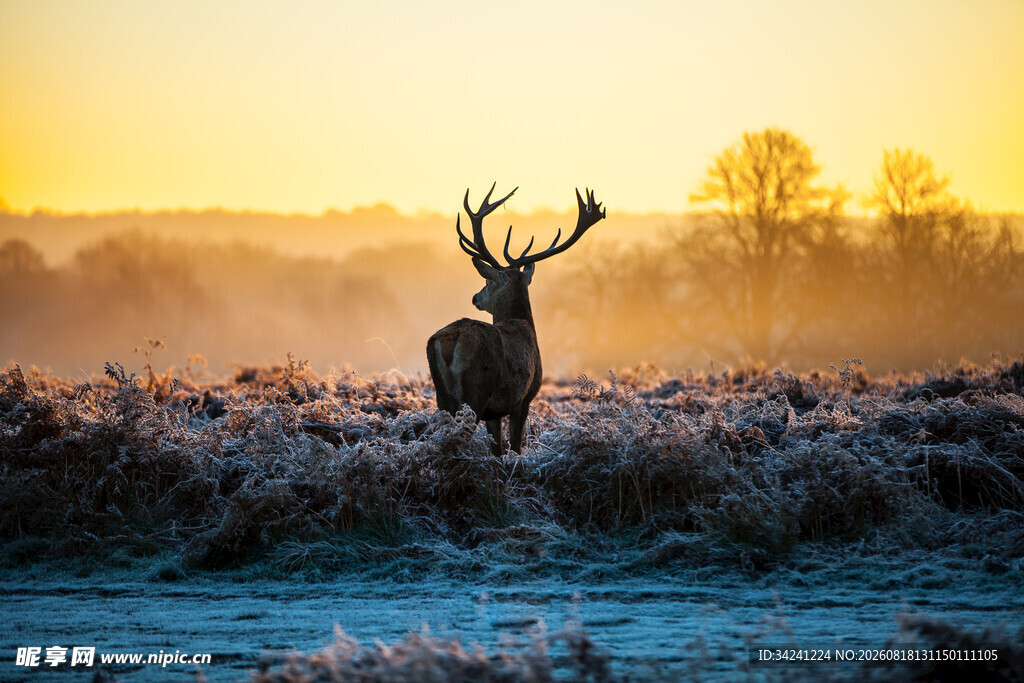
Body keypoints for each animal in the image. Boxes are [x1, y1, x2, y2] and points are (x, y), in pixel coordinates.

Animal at [427, 183, 605, 456]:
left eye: (487, 281)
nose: (475, 297)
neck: (524, 324)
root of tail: (449, 340)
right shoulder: (523, 399)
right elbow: (516, 447)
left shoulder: (495, 412)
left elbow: (498, 449)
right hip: (476, 390)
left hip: (442, 395)